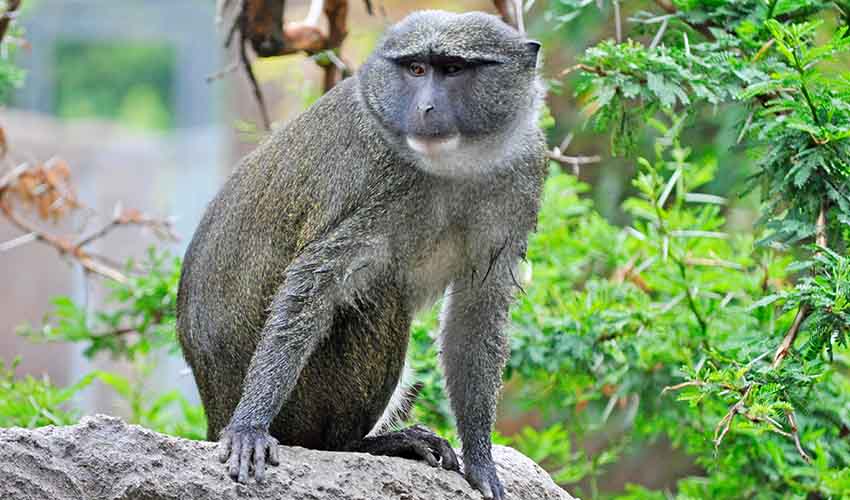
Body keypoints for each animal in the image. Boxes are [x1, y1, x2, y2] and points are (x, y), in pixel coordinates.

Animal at [176, 10, 545, 500]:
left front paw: (481, 462)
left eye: (453, 69)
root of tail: (212, 412)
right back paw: (358, 443)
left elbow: (478, 311)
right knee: (380, 292)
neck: (456, 166)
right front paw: (249, 426)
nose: (425, 109)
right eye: (416, 69)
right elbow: (315, 280)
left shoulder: (522, 176)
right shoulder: (377, 181)